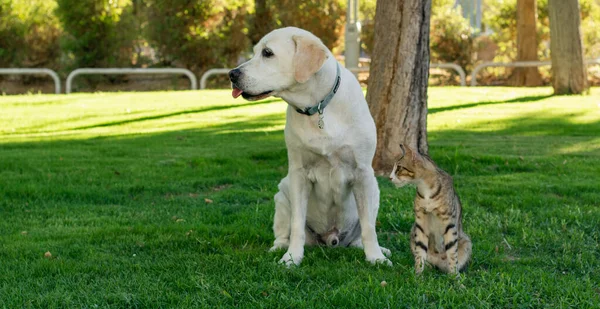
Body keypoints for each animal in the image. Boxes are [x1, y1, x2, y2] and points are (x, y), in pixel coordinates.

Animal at [227, 27, 392, 266]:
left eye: (267, 53)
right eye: (255, 51)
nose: (232, 74)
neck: (318, 106)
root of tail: (331, 239)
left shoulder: (363, 172)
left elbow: (369, 226)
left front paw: (376, 257)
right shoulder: (298, 173)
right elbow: (297, 224)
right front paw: (292, 258)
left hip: (375, 190)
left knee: (360, 231)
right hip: (282, 195)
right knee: (283, 232)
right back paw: (279, 248)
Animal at [390, 143, 474, 274]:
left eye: (399, 168)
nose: (389, 177)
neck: (426, 191)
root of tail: (438, 264)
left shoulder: (448, 222)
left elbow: (451, 252)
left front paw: (455, 277)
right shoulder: (421, 221)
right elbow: (420, 251)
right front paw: (418, 274)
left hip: (466, 241)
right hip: (413, 231)